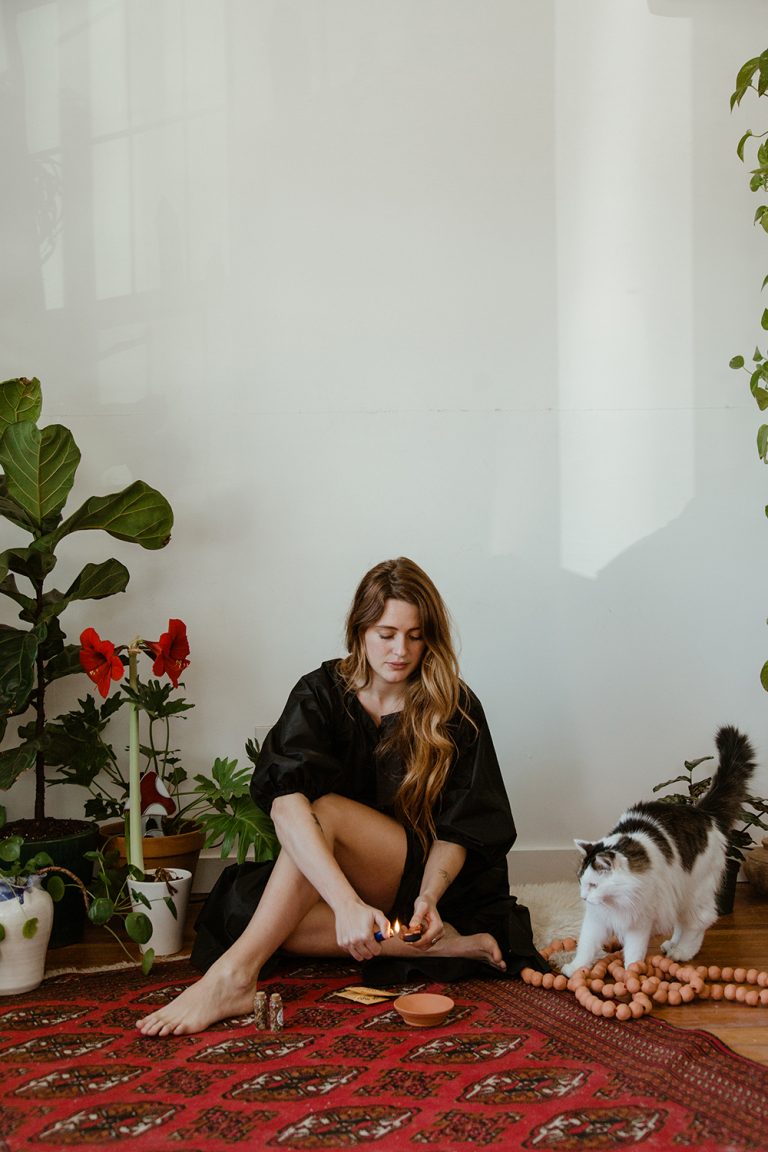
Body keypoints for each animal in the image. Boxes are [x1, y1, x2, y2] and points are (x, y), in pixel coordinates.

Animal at [561, 723, 759, 976]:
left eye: (593, 884)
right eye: (581, 882)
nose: (583, 897)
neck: (616, 900)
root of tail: (703, 812)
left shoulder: (639, 919)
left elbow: (634, 951)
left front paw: (631, 974)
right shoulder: (597, 919)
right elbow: (586, 945)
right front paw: (576, 968)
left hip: (695, 890)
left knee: (699, 922)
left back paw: (682, 951)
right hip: (678, 891)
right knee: (681, 922)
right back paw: (672, 944)